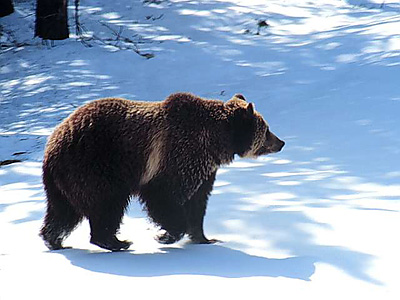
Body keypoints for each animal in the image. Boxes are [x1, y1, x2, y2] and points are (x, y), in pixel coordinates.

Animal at [39, 93, 284, 251]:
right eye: (267, 129)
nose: (281, 142)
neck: (216, 142)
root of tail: (52, 145)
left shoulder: (204, 171)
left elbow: (197, 204)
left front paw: (205, 238)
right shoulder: (177, 157)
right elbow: (164, 196)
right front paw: (165, 236)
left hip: (63, 181)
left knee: (62, 212)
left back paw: (55, 240)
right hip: (96, 166)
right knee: (107, 204)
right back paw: (117, 242)